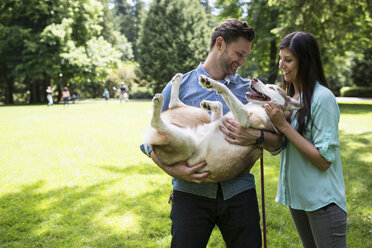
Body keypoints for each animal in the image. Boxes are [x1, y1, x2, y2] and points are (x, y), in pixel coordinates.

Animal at [144, 73, 300, 182]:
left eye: (272, 88)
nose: (254, 79)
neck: (259, 106)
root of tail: (155, 147)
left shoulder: (246, 118)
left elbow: (225, 88)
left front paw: (211, 83)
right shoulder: (220, 118)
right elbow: (219, 103)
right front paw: (209, 104)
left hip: (187, 143)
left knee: (156, 122)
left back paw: (158, 103)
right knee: (174, 104)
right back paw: (176, 81)